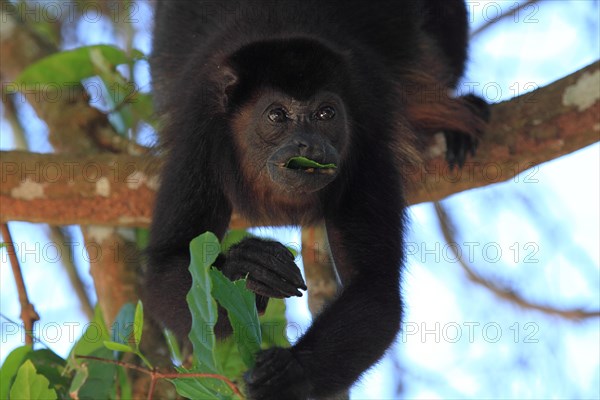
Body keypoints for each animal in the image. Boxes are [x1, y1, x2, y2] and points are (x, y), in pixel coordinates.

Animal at [146, 1, 488, 398]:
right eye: (277, 115)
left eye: (326, 113)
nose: (309, 145)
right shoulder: (198, 132)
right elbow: (163, 269)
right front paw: (245, 267)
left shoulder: (366, 140)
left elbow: (376, 287)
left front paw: (289, 372)